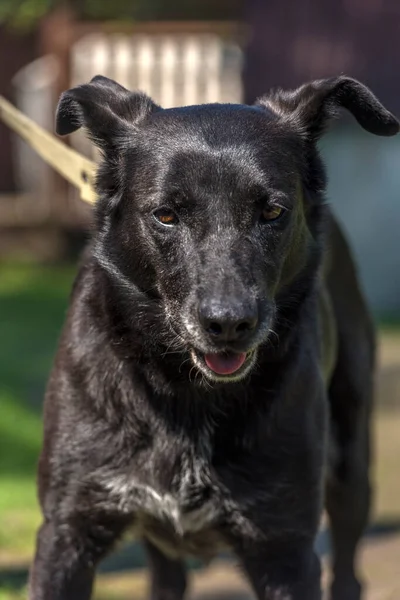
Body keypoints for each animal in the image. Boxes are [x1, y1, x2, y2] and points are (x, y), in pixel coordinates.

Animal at [28, 76, 396, 600]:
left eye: (272, 211)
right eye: (165, 215)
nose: (228, 323)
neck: (186, 391)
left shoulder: (283, 548)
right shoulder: (67, 534)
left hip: (351, 461)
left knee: (347, 564)